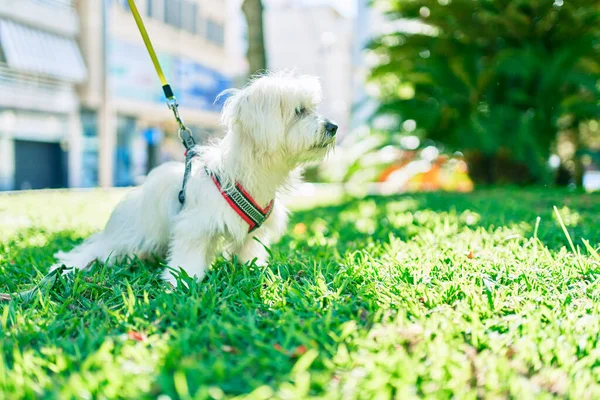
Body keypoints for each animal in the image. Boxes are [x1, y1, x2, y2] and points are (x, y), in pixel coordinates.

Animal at [51, 72, 338, 284]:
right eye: (299, 111)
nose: (333, 126)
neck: (248, 173)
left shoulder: (251, 234)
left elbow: (248, 252)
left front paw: (251, 269)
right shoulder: (194, 226)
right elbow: (187, 256)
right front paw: (181, 282)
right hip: (130, 232)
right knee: (97, 248)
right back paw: (68, 267)